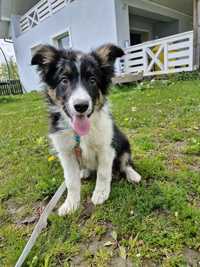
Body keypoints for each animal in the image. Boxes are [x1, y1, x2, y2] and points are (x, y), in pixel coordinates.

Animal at [31, 43, 141, 216]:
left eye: (92, 80)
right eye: (64, 80)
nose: (81, 106)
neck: (79, 134)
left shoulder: (107, 148)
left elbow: (103, 173)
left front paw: (100, 194)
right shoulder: (66, 153)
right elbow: (70, 180)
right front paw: (70, 204)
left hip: (123, 142)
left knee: (125, 163)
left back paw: (133, 175)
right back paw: (84, 172)